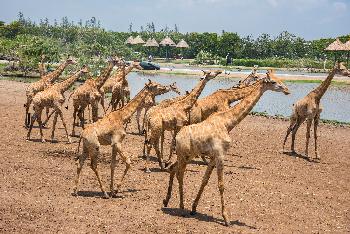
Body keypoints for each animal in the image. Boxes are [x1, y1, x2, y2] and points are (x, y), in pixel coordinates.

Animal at [163, 72, 292, 226]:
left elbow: (205, 180)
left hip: (188, 155)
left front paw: (194, 207)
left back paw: (166, 201)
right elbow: (221, 185)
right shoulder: (220, 155)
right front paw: (226, 218)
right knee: (180, 174)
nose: (287, 90)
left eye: (280, 79)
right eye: (273, 82)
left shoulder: (213, 157)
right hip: (184, 155)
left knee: (172, 168)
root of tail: (178, 137)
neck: (227, 123)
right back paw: (181, 207)